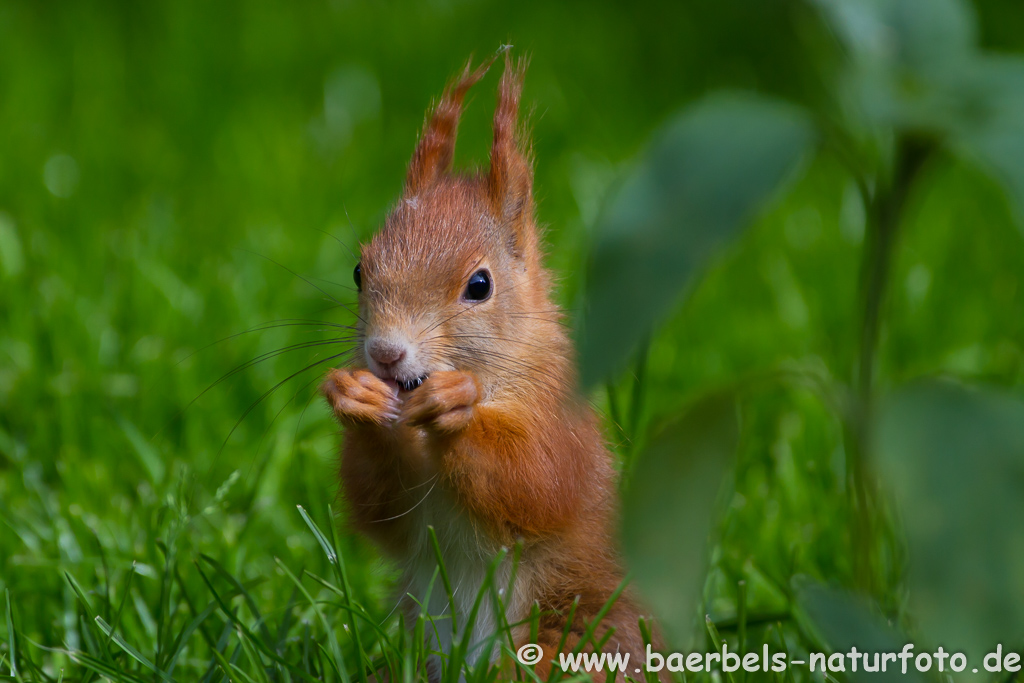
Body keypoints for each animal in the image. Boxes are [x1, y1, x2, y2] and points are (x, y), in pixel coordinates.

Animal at [319, 54, 655, 683]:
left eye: (480, 285)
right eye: (358, 271)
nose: (385, 353)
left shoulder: (560, 411)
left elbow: (540, 480)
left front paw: (457, 407)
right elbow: (379, 508)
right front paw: (355, 398)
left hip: (577, 639)